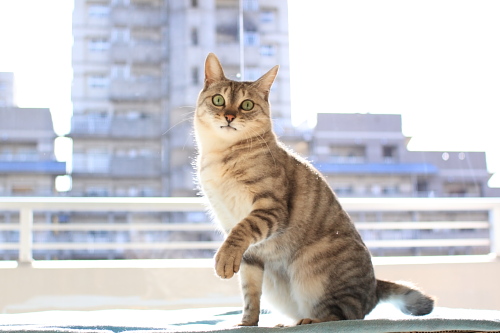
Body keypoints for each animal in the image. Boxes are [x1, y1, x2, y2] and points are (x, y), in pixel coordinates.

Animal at [192, 53, 434, 326]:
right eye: (218, 100)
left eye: (246, 105)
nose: (230, 117)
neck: (221, 155)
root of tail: (374, 288)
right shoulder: (248, 250)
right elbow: (250, 292)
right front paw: (246, 323)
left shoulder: (270, 208)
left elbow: (241, 231)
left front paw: (224, 259)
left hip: (313, 270)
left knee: (346, 315)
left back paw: (308, 321)